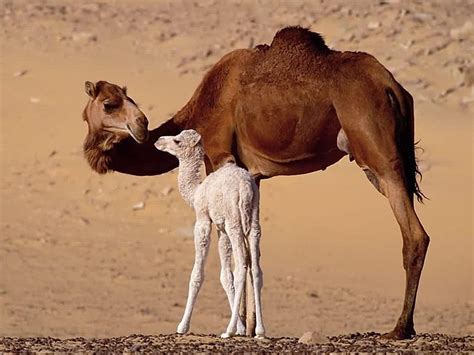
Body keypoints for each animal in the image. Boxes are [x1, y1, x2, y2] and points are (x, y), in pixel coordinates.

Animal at [156, 130, 264, 340]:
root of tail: (245, 187)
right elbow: (225, 276)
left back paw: (228, 331)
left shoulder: (203, 220)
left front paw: (182, 326)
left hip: (234, 221)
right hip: (253, 220)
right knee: (255, 269)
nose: (158, 141)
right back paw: (260, 331)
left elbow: (197, 274)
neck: (196, 191)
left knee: (242, 266)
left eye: (177, 140)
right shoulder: (221, 229)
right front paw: (240, 328)